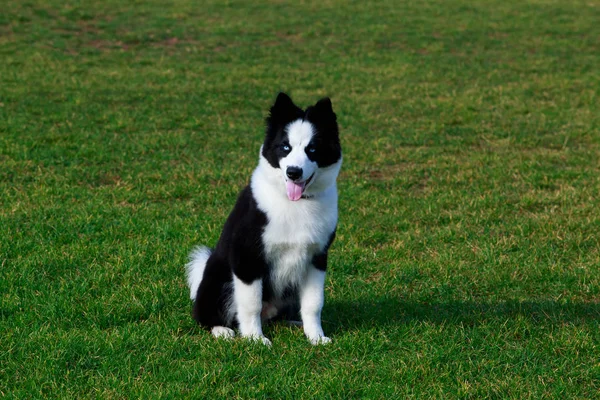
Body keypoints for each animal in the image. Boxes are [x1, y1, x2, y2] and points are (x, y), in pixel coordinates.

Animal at [183, 93, 342, 344]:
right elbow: (251, 305)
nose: (293, 172)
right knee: (205, 316)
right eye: (285, 147)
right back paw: (222, 330)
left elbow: (313, 303)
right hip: (219, 281)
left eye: (312, 149)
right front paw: (255, 340)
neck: (296, 203)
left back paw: (294, 323)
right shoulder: (248, 258)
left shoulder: (316, 258)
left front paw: (316, 337)